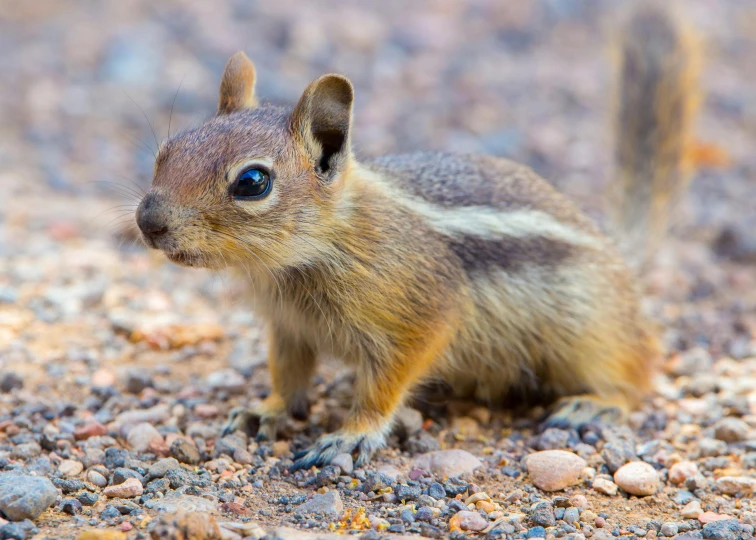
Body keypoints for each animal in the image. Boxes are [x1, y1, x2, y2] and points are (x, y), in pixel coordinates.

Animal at [134, 3, 696, 468]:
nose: (148, 221)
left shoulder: (423, 311)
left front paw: (353, 433)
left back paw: (593, 405)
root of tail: (620, 257)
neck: (314, 252)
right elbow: (288, 374)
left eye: (252, 182)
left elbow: (387, 383)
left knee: (635, 373)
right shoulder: (288, 327)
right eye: (167, 150)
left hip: (592, 333)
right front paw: (265, 410)